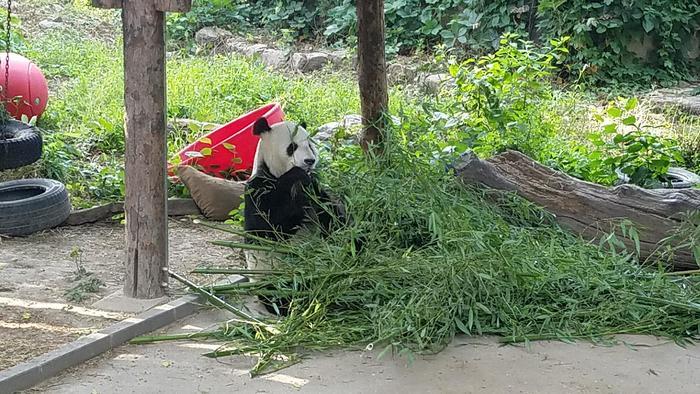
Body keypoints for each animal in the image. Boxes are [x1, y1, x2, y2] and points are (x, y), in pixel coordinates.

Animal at [242, 116, 348, 314]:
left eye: (311, 145)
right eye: (292, 147)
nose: (310, 161)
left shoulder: (316, 189)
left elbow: (333, 219)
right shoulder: (257, 189)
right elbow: (266, 229)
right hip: (274, 276)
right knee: (282, 295)